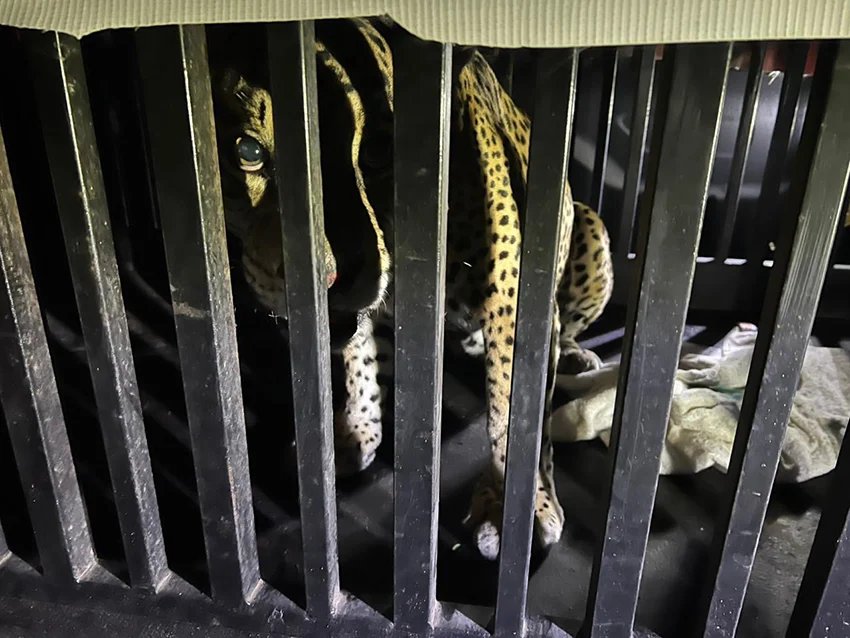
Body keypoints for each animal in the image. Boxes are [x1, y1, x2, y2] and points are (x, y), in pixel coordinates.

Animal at [211, 17, 614, 560]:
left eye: (382, 150)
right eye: (248, 152)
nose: (332, 275)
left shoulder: (514, 304)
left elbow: (515, 409)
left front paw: (518, 509)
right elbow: (360, 358)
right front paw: (355, 429)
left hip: (591, 227)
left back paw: (574, 355)